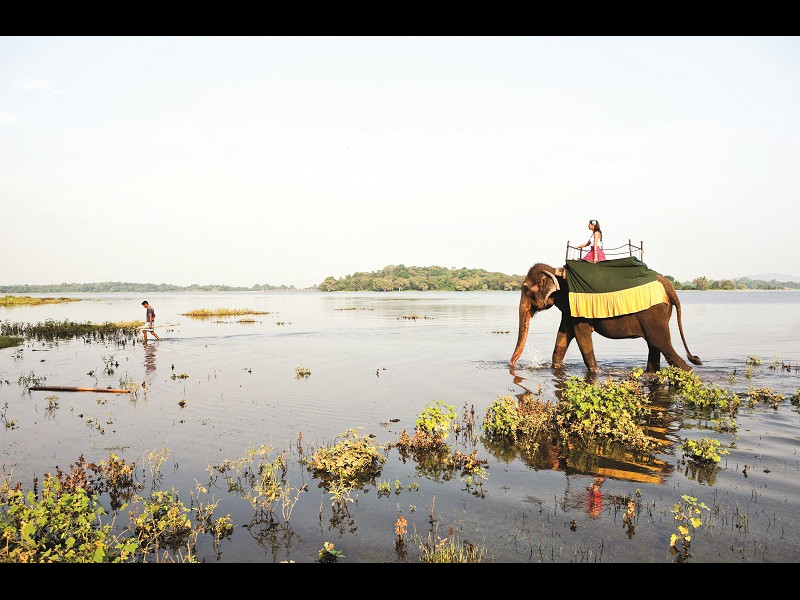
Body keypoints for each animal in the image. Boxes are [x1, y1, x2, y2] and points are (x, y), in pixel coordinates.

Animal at [512, 260, 700, 372]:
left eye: (525, 288)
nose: (513, 364)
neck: (555, 271)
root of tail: (669, 286)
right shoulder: (569, 308)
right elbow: (563, 336)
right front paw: (555, 368)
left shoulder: (576, 307)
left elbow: (581, 336)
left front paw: (596, 371)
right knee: (654, 345)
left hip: (654, 313)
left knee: (661, 343)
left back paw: (689, 371)